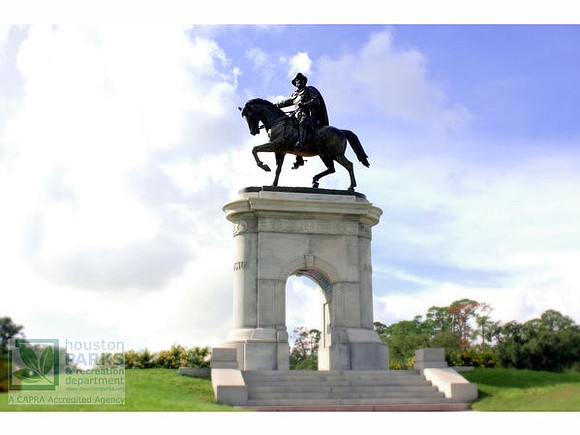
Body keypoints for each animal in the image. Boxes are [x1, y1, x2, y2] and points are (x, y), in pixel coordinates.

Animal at [238, 101, 370, 193]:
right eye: (245, 117)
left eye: (250, 115)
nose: (253, 132)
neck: (278, 123)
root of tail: (342, 131)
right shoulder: (280, 151)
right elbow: (278, 169)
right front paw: (273, 184)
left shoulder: (274, 145)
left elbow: (254, 149)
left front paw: (264, 166)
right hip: (325, 155)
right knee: (332, 169)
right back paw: (315, 180)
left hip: (336, 155)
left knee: (349, 165)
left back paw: (351, 187)